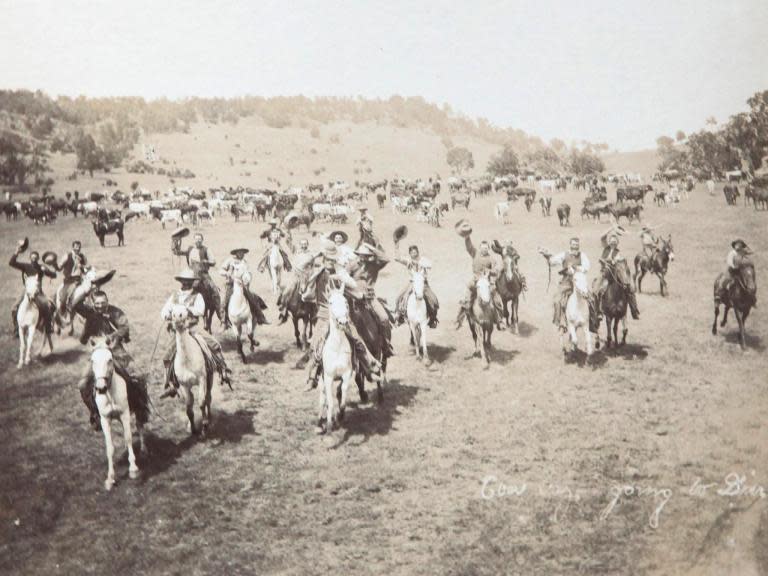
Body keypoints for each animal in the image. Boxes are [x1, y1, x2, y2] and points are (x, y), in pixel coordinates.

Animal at [89, 338, 145, 490]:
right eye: (92, 360)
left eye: (110, 359)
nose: (100, 388)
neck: (110, 394)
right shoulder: (105, 420)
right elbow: (110, 447)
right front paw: (110, 478)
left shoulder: (125, 414)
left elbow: (129, 438)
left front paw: (133, 469)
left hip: (137, 409)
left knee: (139, 426)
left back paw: (144, 448)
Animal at [170, 306, 214, 436]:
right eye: (172, 312)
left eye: (185, 311)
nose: (177, 317)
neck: (187, 360)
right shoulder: (184, 385)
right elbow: (189, 407)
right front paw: (193, 429)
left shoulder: (202, 380)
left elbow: (202, 403)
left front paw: (204, 427)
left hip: (209, 379)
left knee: (208, 397)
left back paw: (209, 419)